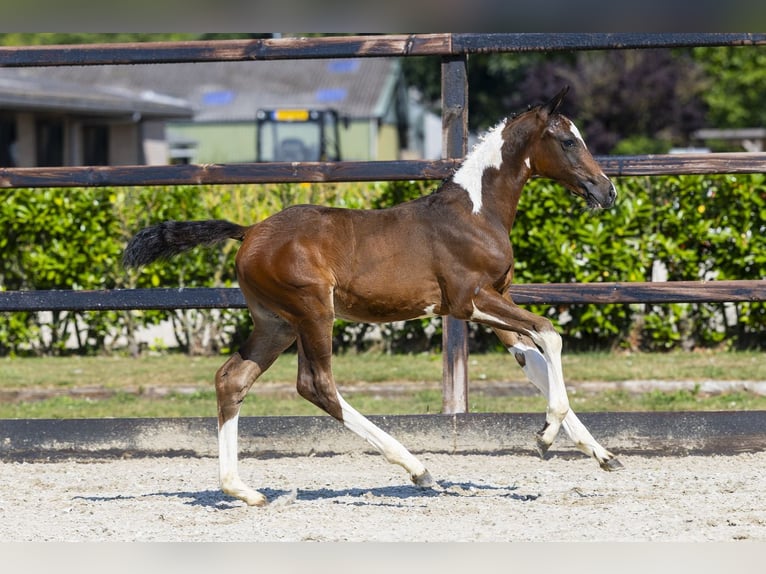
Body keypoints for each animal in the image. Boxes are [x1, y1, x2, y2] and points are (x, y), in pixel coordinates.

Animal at [123, 86, 621, 507]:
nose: (607, 190)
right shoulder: (470, 301)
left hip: (275, 323)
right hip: (312, 313)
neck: (476, 214)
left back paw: (242, 490)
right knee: (317, 385)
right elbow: (550, 333)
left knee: (232, 379)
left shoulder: (493, 302)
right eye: (568, 141)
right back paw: (417, 468)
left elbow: (534, 359)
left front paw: (599, 453)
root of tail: (250, 232)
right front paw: (545, 436)